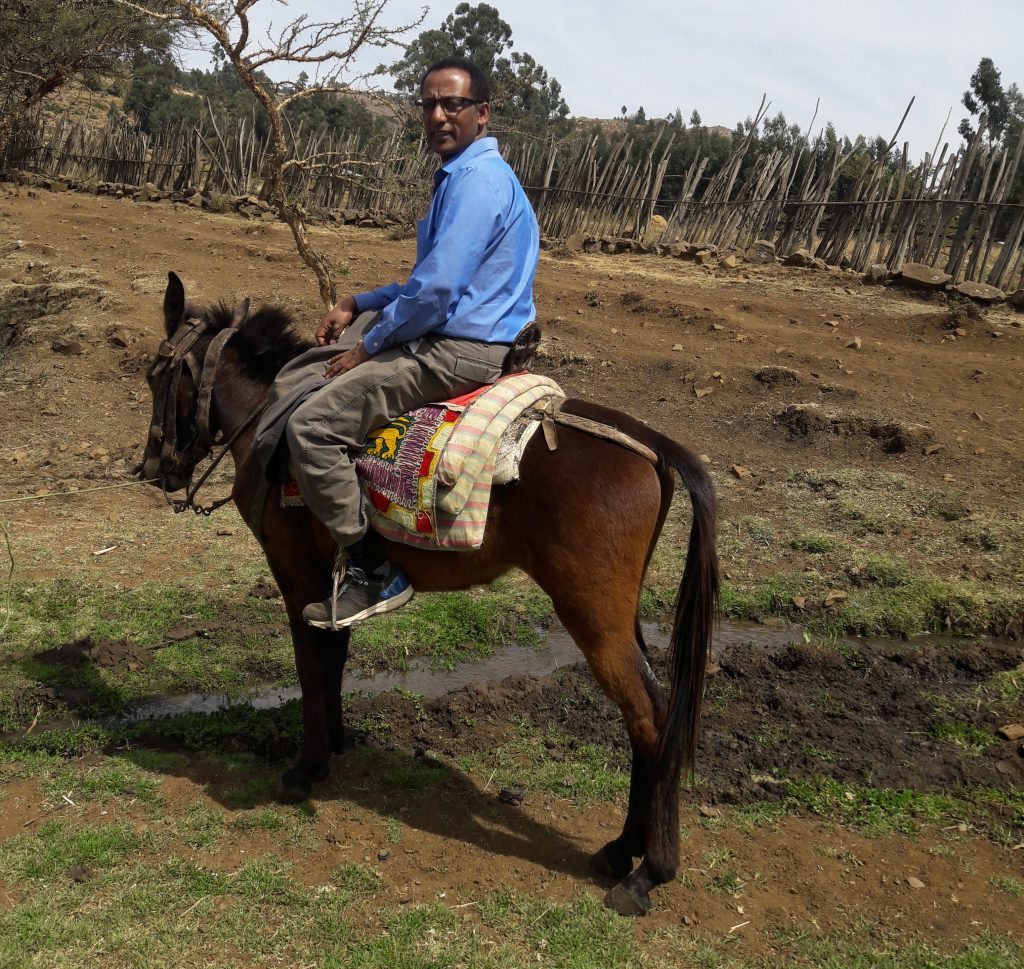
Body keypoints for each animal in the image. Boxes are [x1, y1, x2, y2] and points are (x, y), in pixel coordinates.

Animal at [142, 274, 720, 913]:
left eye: (153, 375)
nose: (152, 468)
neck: (271, 414)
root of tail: (650, 446)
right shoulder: (331, 586)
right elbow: (335, 657)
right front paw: (336, 744)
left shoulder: (298, 577)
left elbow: (312, 670)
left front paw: (306, 768)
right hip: (621, 613)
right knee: (652, 714)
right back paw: (622, 853)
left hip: (591, 614)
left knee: (650, 717)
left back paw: (649, 872)